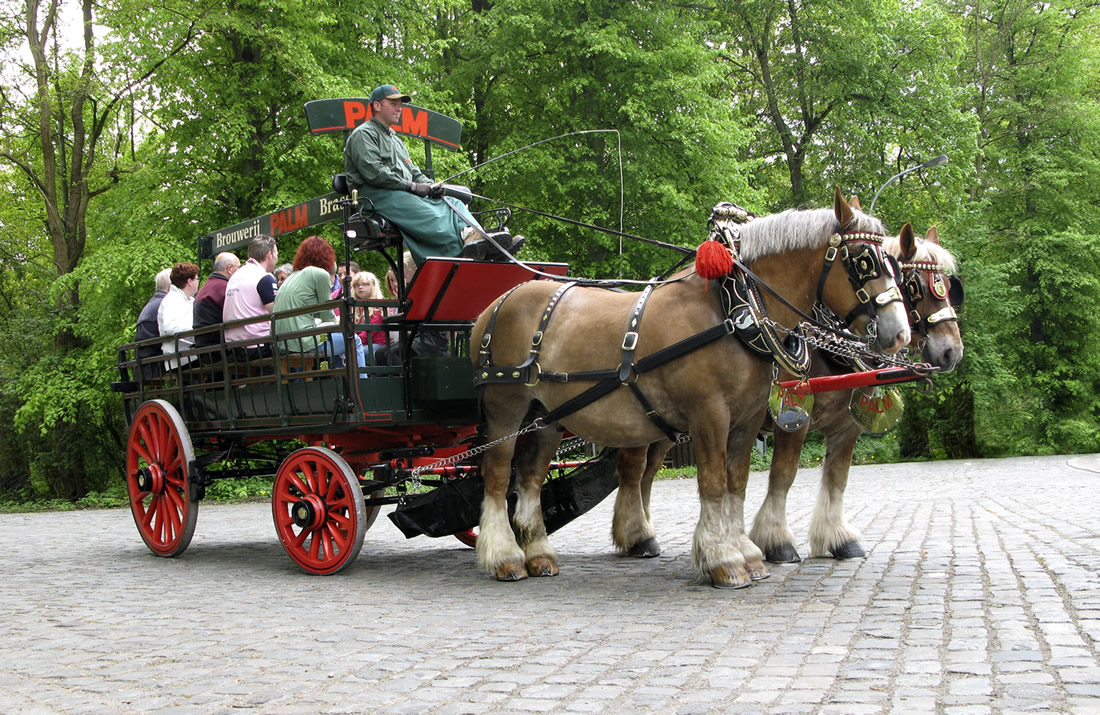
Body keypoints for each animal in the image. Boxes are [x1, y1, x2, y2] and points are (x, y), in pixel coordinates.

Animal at [473, 188, 910, 585]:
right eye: (864, 260)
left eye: (894, 264)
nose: (899, 334)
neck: (733, 311)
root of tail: (497, 304)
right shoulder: (710, 414)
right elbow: (715, 482)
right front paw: (723, 559)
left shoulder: (748, 419)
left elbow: (738, 482)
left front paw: (748, 553)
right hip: (505, 406)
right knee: (497, 475)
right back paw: (505, 557)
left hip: (546, 416)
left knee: (530, 478)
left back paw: (538, 554)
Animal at [748, 224, 963, 563]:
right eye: (915, 285)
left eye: (949, 286)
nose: (952, 351)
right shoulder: (792, 419)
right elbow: (784, 474)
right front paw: (776, 541)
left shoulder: (847, 426)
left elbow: (838, 478)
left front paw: (839, 538)